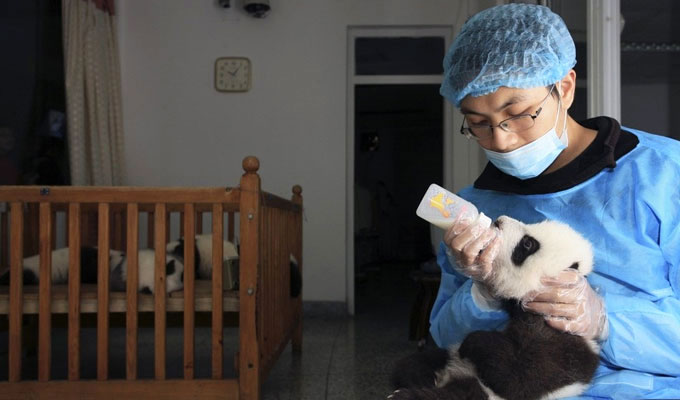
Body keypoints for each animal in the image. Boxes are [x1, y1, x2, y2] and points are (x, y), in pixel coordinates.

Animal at [388, 217, 600, 400]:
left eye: (528, 244)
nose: (499, 221)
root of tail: (450, 377)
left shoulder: (557, 344)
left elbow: (516, 379)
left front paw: (472, 342)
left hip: (481, 393)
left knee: (457, 394)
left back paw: (405, 395)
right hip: (445, 356)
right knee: (416, 363)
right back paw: (421, 379)